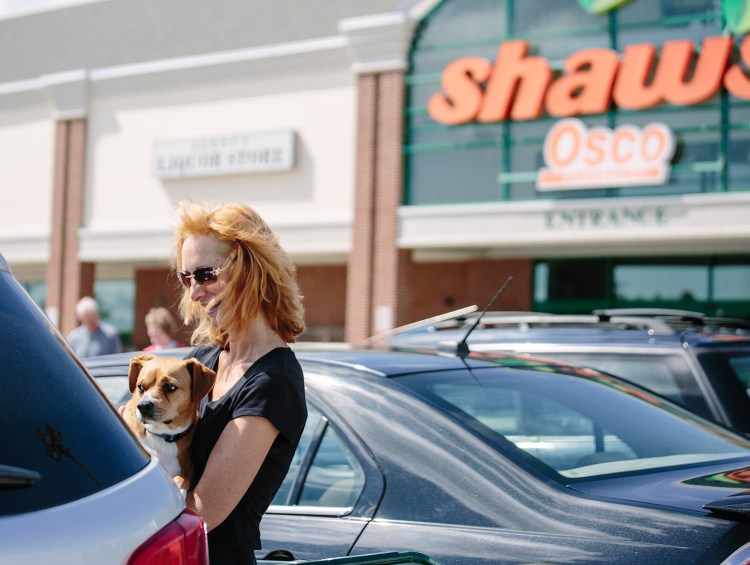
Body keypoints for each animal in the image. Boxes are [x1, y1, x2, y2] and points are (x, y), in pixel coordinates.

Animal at [123, 354, 216, 492]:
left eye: (170, 387)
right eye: (140, 387)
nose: (143, 406)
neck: (161, 433)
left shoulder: (186, 472)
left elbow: (183, 478)